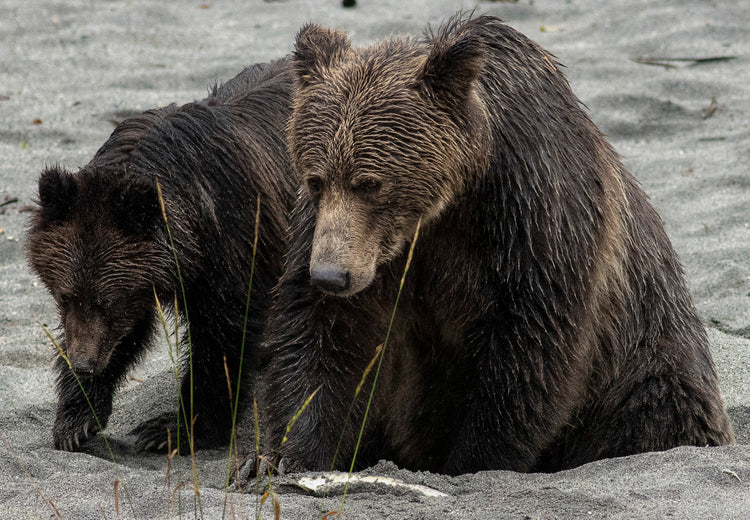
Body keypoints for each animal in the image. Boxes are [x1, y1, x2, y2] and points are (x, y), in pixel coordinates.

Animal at [26, 58, 296, 452]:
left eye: (109, 300)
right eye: (64, 296)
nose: (83, 363)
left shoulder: (230, 245)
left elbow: (222, 340)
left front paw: (176, 429)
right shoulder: (146, 274)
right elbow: (125, 332)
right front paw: (76, 419)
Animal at [244, 14, 735, 477]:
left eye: (371, 183)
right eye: (316, 178)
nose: (331, 275)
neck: (447, 205)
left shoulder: (532, 214)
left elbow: (529, 345)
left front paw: (475, 460)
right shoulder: (349, 244)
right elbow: (325, 339)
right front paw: (284, 458)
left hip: (647, 364)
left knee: (654, 406)